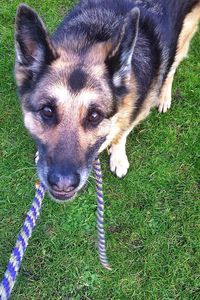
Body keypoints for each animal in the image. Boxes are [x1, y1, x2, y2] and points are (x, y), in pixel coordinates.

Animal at [14, 0, 200, 202]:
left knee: (172, 66)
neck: (90, 39)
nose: (63, 185)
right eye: (47, 111)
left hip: (183, 35)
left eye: (95, 116)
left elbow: (122, 133)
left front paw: (118, 156)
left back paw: (164, 96)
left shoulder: (138, 112)